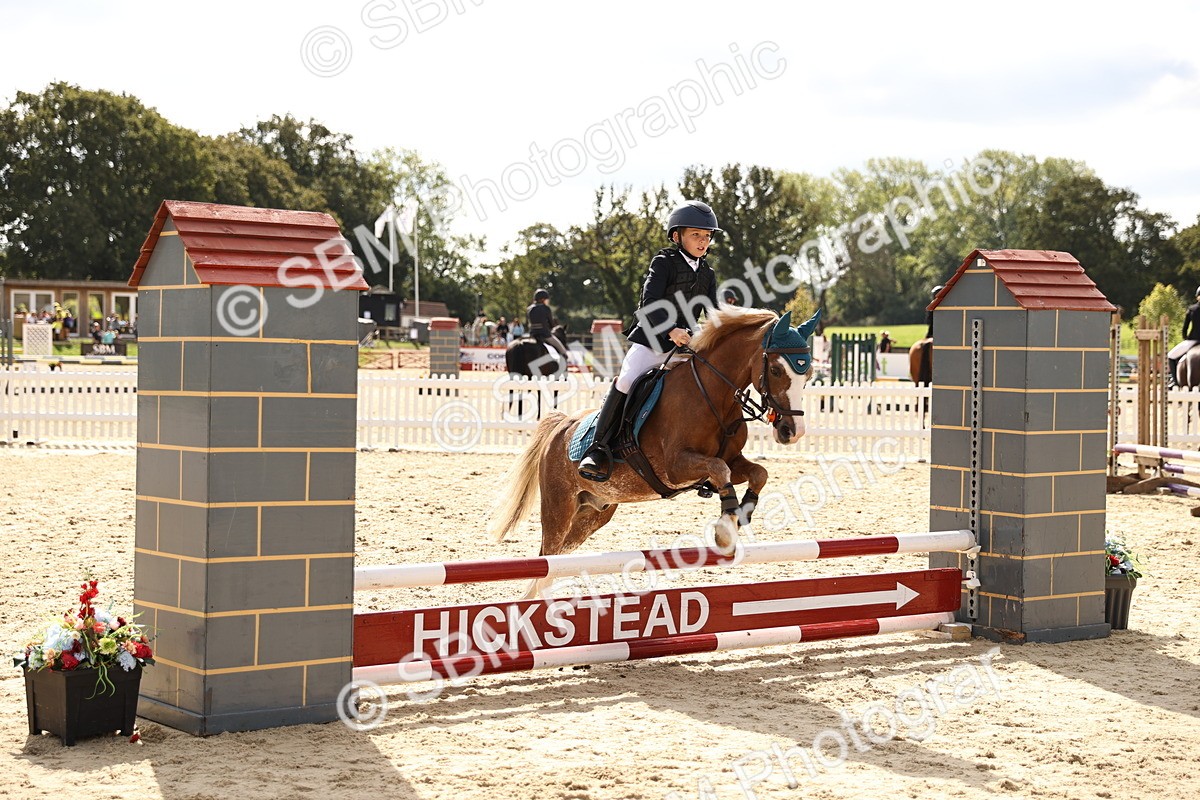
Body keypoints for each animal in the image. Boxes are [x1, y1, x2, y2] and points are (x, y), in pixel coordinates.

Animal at [488, 306, 820, 597]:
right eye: (775, 369)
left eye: (808, 375)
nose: (792, 432)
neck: (714, 395)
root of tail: (561, 425)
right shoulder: (676, 466)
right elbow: (718, 468)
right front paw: (726, 528)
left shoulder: (733, 460)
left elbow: (758, 472)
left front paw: (743, 512)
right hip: (559, 506)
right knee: (548, 554)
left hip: (594, 512)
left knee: (556, 559)